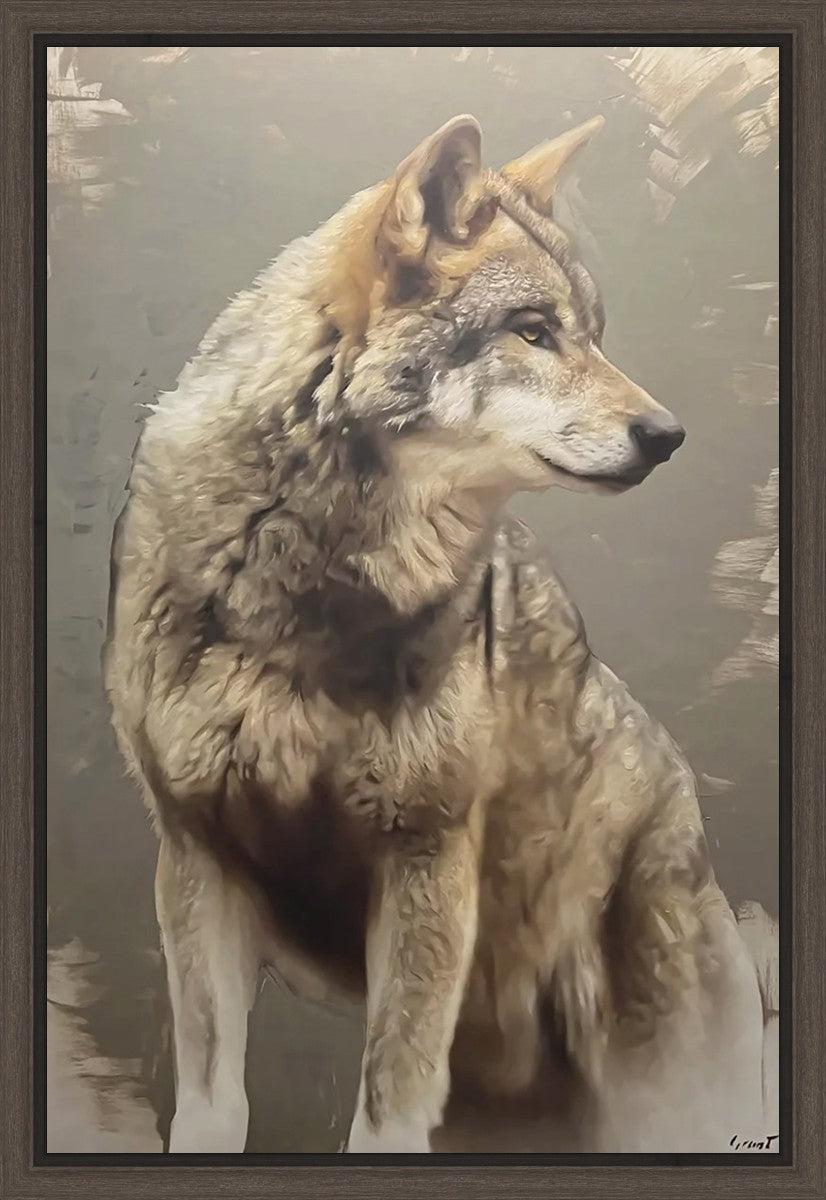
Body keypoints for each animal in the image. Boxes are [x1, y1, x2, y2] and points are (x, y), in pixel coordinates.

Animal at [104, 114, 776, 1154]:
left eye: (593, 334)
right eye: (534, 331)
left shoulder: (426, 863)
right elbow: (216, 1104)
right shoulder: (196, 860)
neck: (302, 590)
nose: (668, 436)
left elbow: (385, 1113)